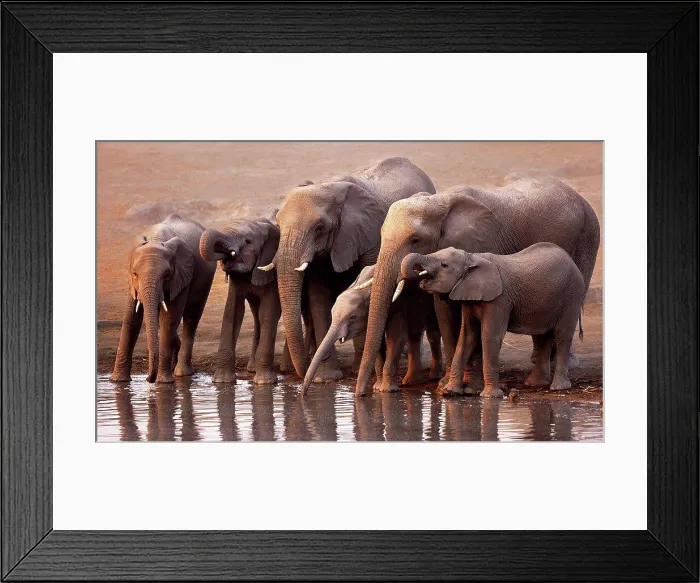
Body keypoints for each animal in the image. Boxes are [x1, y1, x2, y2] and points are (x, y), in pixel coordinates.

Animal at [111, 214, 216, 383]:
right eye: (135, 274)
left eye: (167, 275)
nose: (148, 379)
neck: (155, 238)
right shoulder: (132, 283)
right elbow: (131, 319)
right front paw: (118, 381)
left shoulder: (181, 275)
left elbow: (169, 319)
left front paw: (164, 383)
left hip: (205, 280)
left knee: (191, 318)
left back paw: (181, 373)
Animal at [199, 212, 284, 384]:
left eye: (248, 241)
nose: (229, 253)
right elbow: (232, 311)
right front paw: (222, 381)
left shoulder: (271, 273)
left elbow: (268, 313)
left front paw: (264, 382)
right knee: (256, 316)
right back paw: (252, 369)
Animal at [267, 156, 436, 383]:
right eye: (278, 224)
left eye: (319, 228)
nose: (299, 374)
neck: (327, 186)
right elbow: (318, 299)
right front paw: (326, 378)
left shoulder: (370, 237)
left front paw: (356, 371)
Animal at [301, 265, 442, 395]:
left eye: (352, 317)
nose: (304, 394)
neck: (365, 288)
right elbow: (377, 339)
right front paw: (377, 388)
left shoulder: (396, 303)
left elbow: (397, 337)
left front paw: (386, 390)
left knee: (430, 331)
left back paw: (431, 377)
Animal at [400, 243, 586, 397]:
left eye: (444, 265)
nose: (418, 273)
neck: (472, 257)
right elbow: (467, 336)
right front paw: (450, 392)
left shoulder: (500, 299)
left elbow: (490, 336)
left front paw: (490, 397)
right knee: (543, 335)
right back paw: (535, 384)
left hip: (572, 295)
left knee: (562, 335)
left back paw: (558, 387)